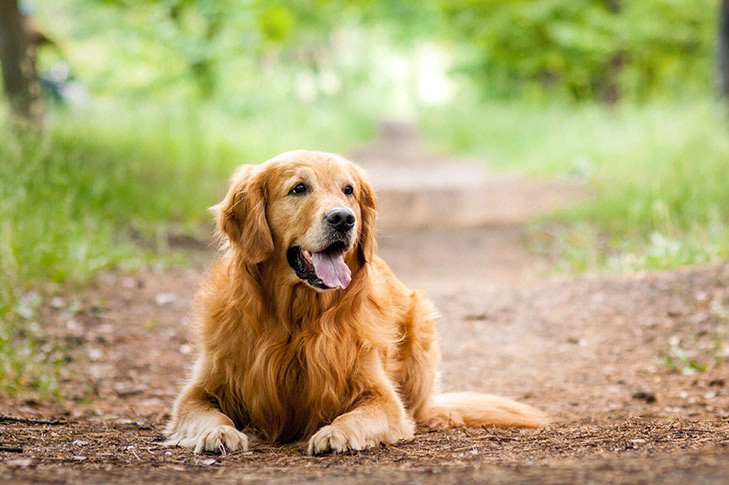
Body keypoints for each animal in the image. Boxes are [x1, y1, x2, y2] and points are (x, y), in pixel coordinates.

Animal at [162, 150, 544, 454]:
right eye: (299, 188)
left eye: (349, 190)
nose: (344, 218)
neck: (297, 320)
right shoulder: (195, 393)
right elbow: (206, 414)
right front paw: (219, 433)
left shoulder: (383, 398)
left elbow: (358, 416)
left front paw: (335, 434)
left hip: (421, 320)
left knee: (421, 409)